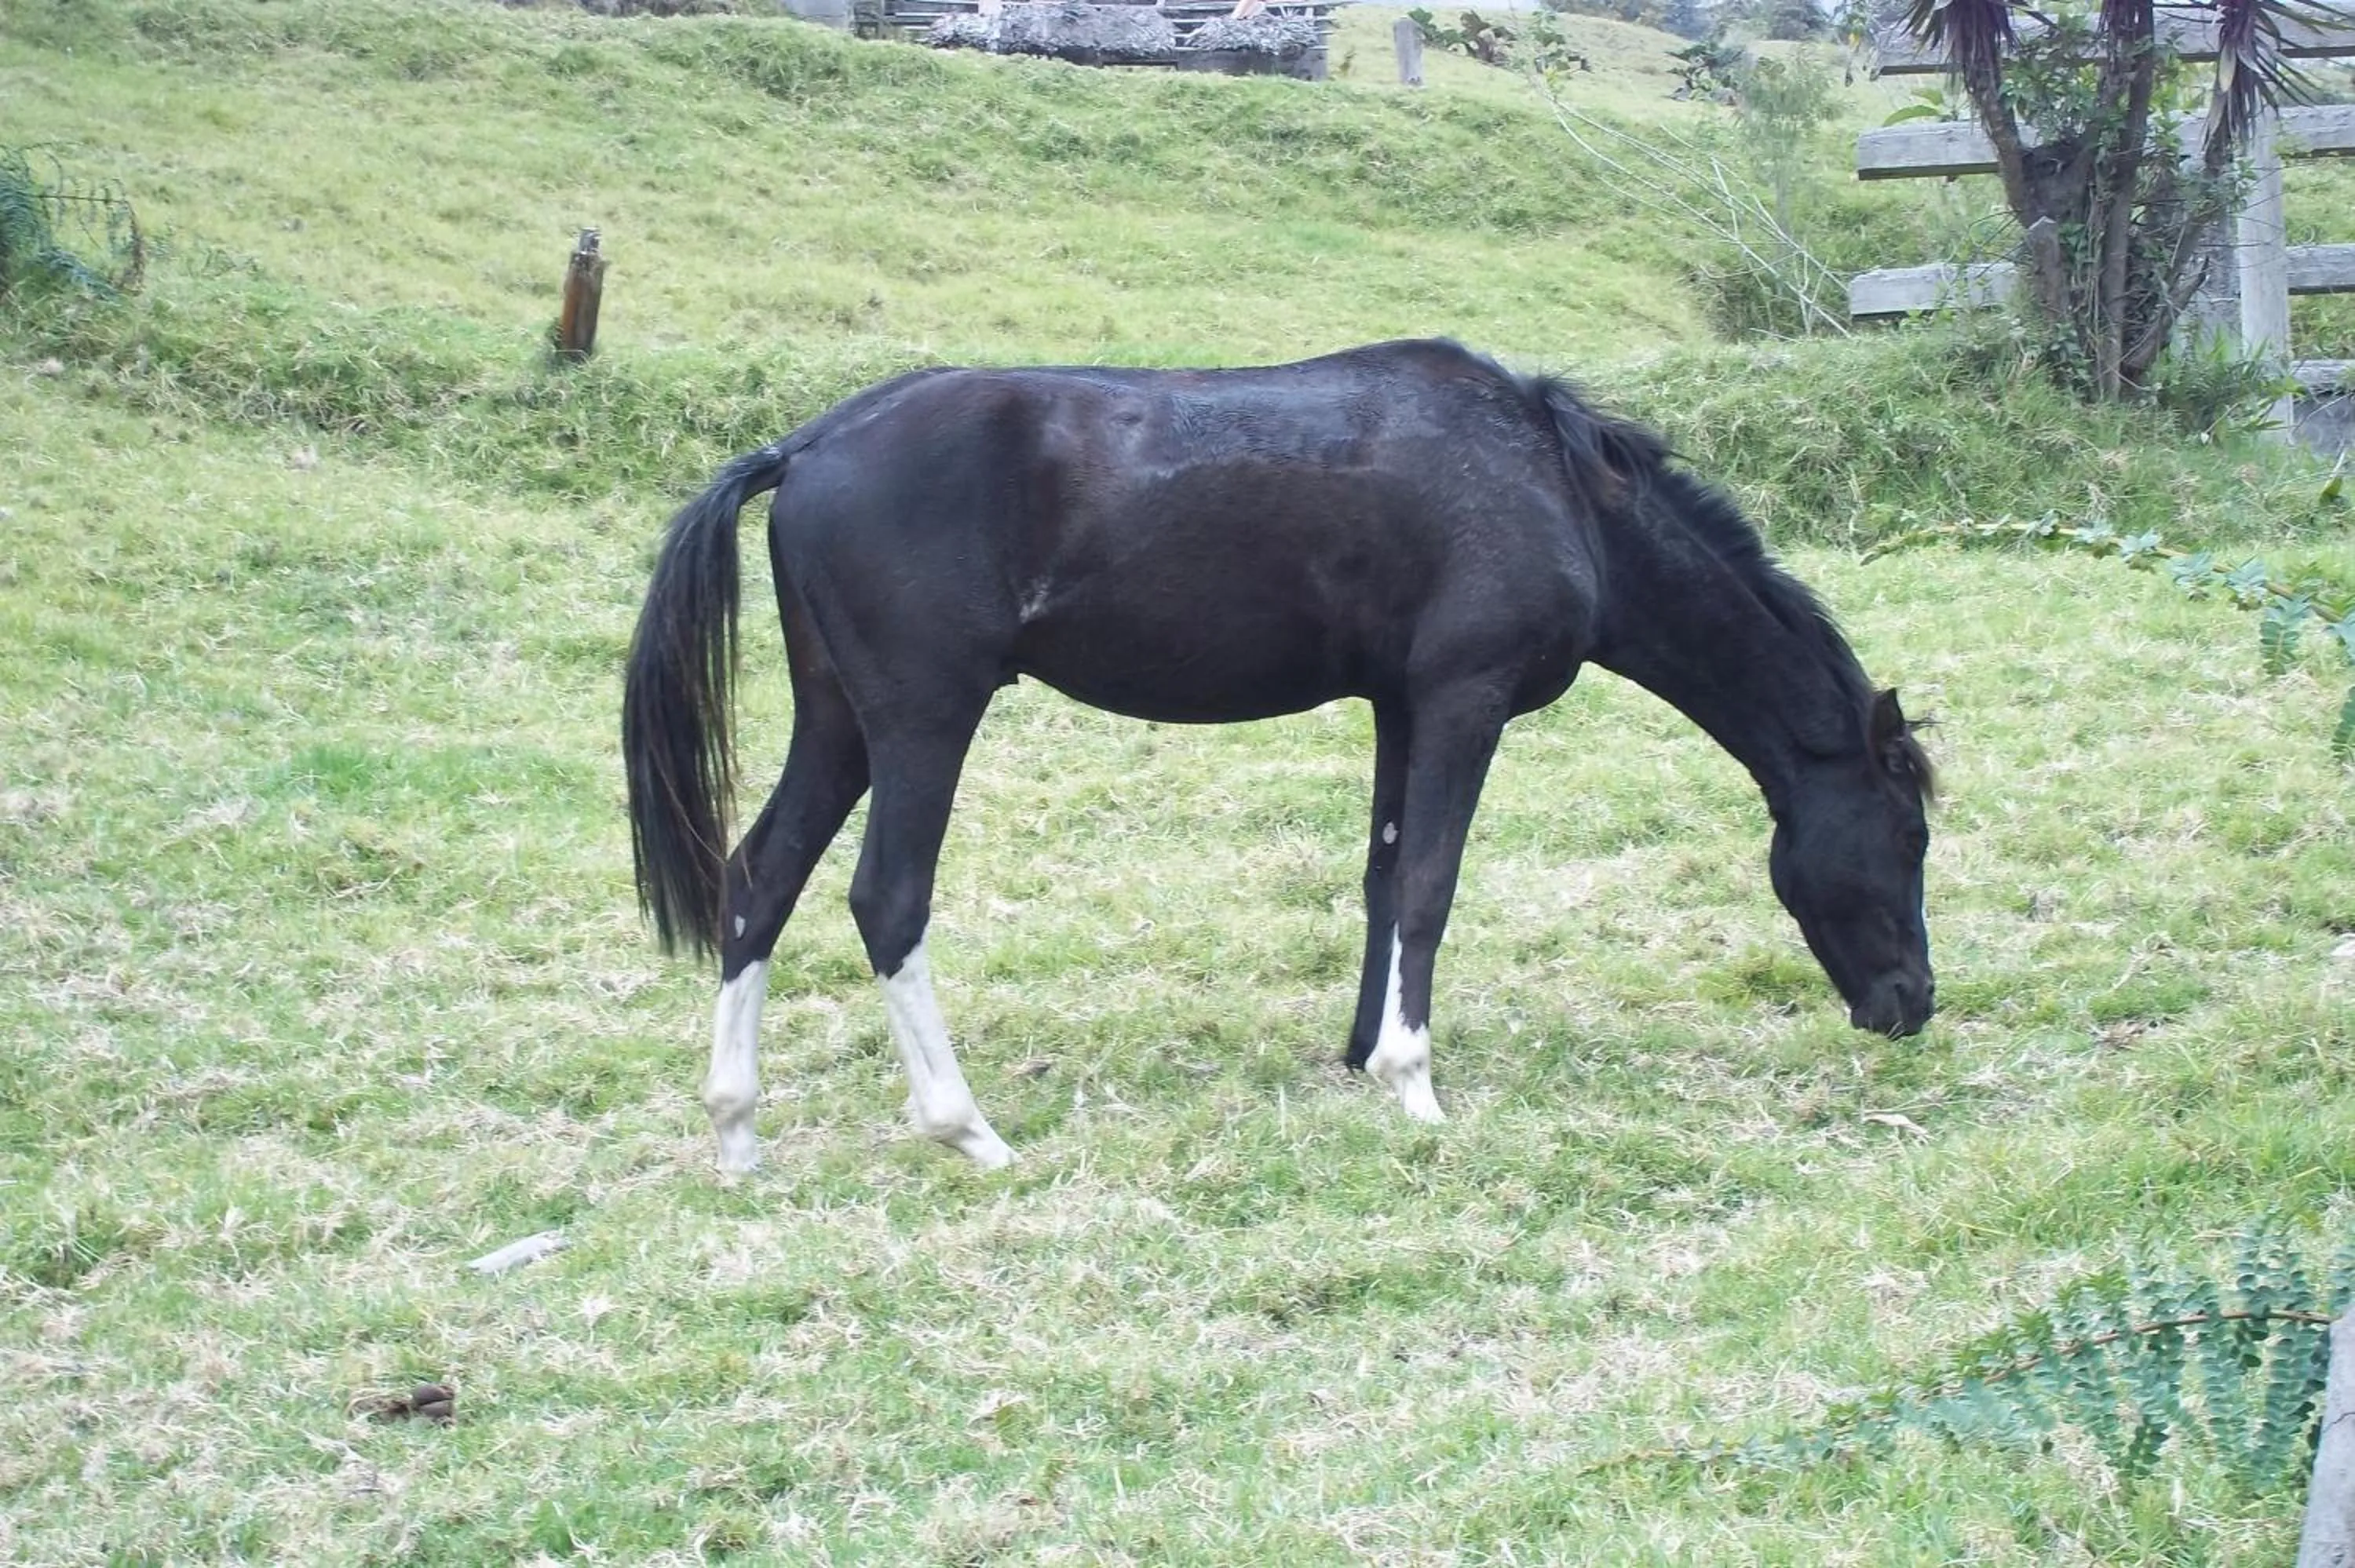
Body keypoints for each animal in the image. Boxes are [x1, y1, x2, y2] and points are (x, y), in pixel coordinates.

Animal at [622, 338, 1936, 1173]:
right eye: (1910, 834)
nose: (1913, 1005)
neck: (1553, 489)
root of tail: (807, 445)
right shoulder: (1463, 699)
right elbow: (1432, 883)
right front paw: (1414, 1082)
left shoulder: (1400, 703)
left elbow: (1385, 875)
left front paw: (1361, 1056)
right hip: (921, 722)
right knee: (885, 899)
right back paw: (966, 1129)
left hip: (838, 722)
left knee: (760, 878)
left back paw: (737, 1131)